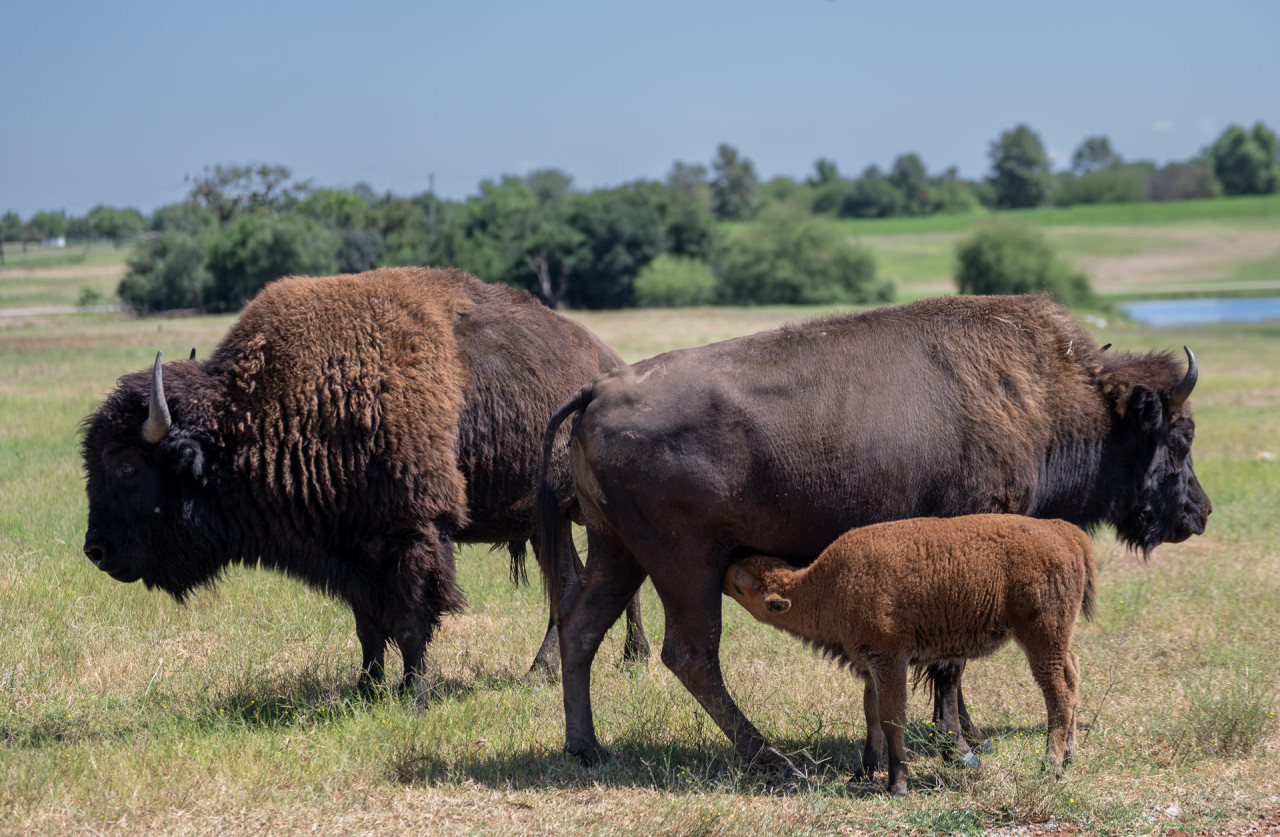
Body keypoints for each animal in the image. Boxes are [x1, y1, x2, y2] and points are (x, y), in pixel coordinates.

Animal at [78, 266, 640, 696]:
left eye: (125, 466)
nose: (95, 551)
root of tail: (611, 363)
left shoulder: (412, 532)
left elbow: (412, 618)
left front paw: (413, 692)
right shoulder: (351, 547)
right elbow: (367, 624)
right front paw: (366, 688)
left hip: (564, 518)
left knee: (572, 582)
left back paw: (545, 671)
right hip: (560, 520)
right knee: (584, 579)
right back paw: (616, 659)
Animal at [727, 514, 1095, 798]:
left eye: (740, 585)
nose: (728, 564)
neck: (830, 585)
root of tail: (1063, 531)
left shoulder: (890, 659)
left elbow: (892, 718)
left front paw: (898, 786)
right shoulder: (871, 666)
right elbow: (871, 715)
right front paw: (862, 773)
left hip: (1041, 637)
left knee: (1059, 696)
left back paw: (1050, 765)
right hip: (1057, 639)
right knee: (1073, 675)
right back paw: (1070, 757)